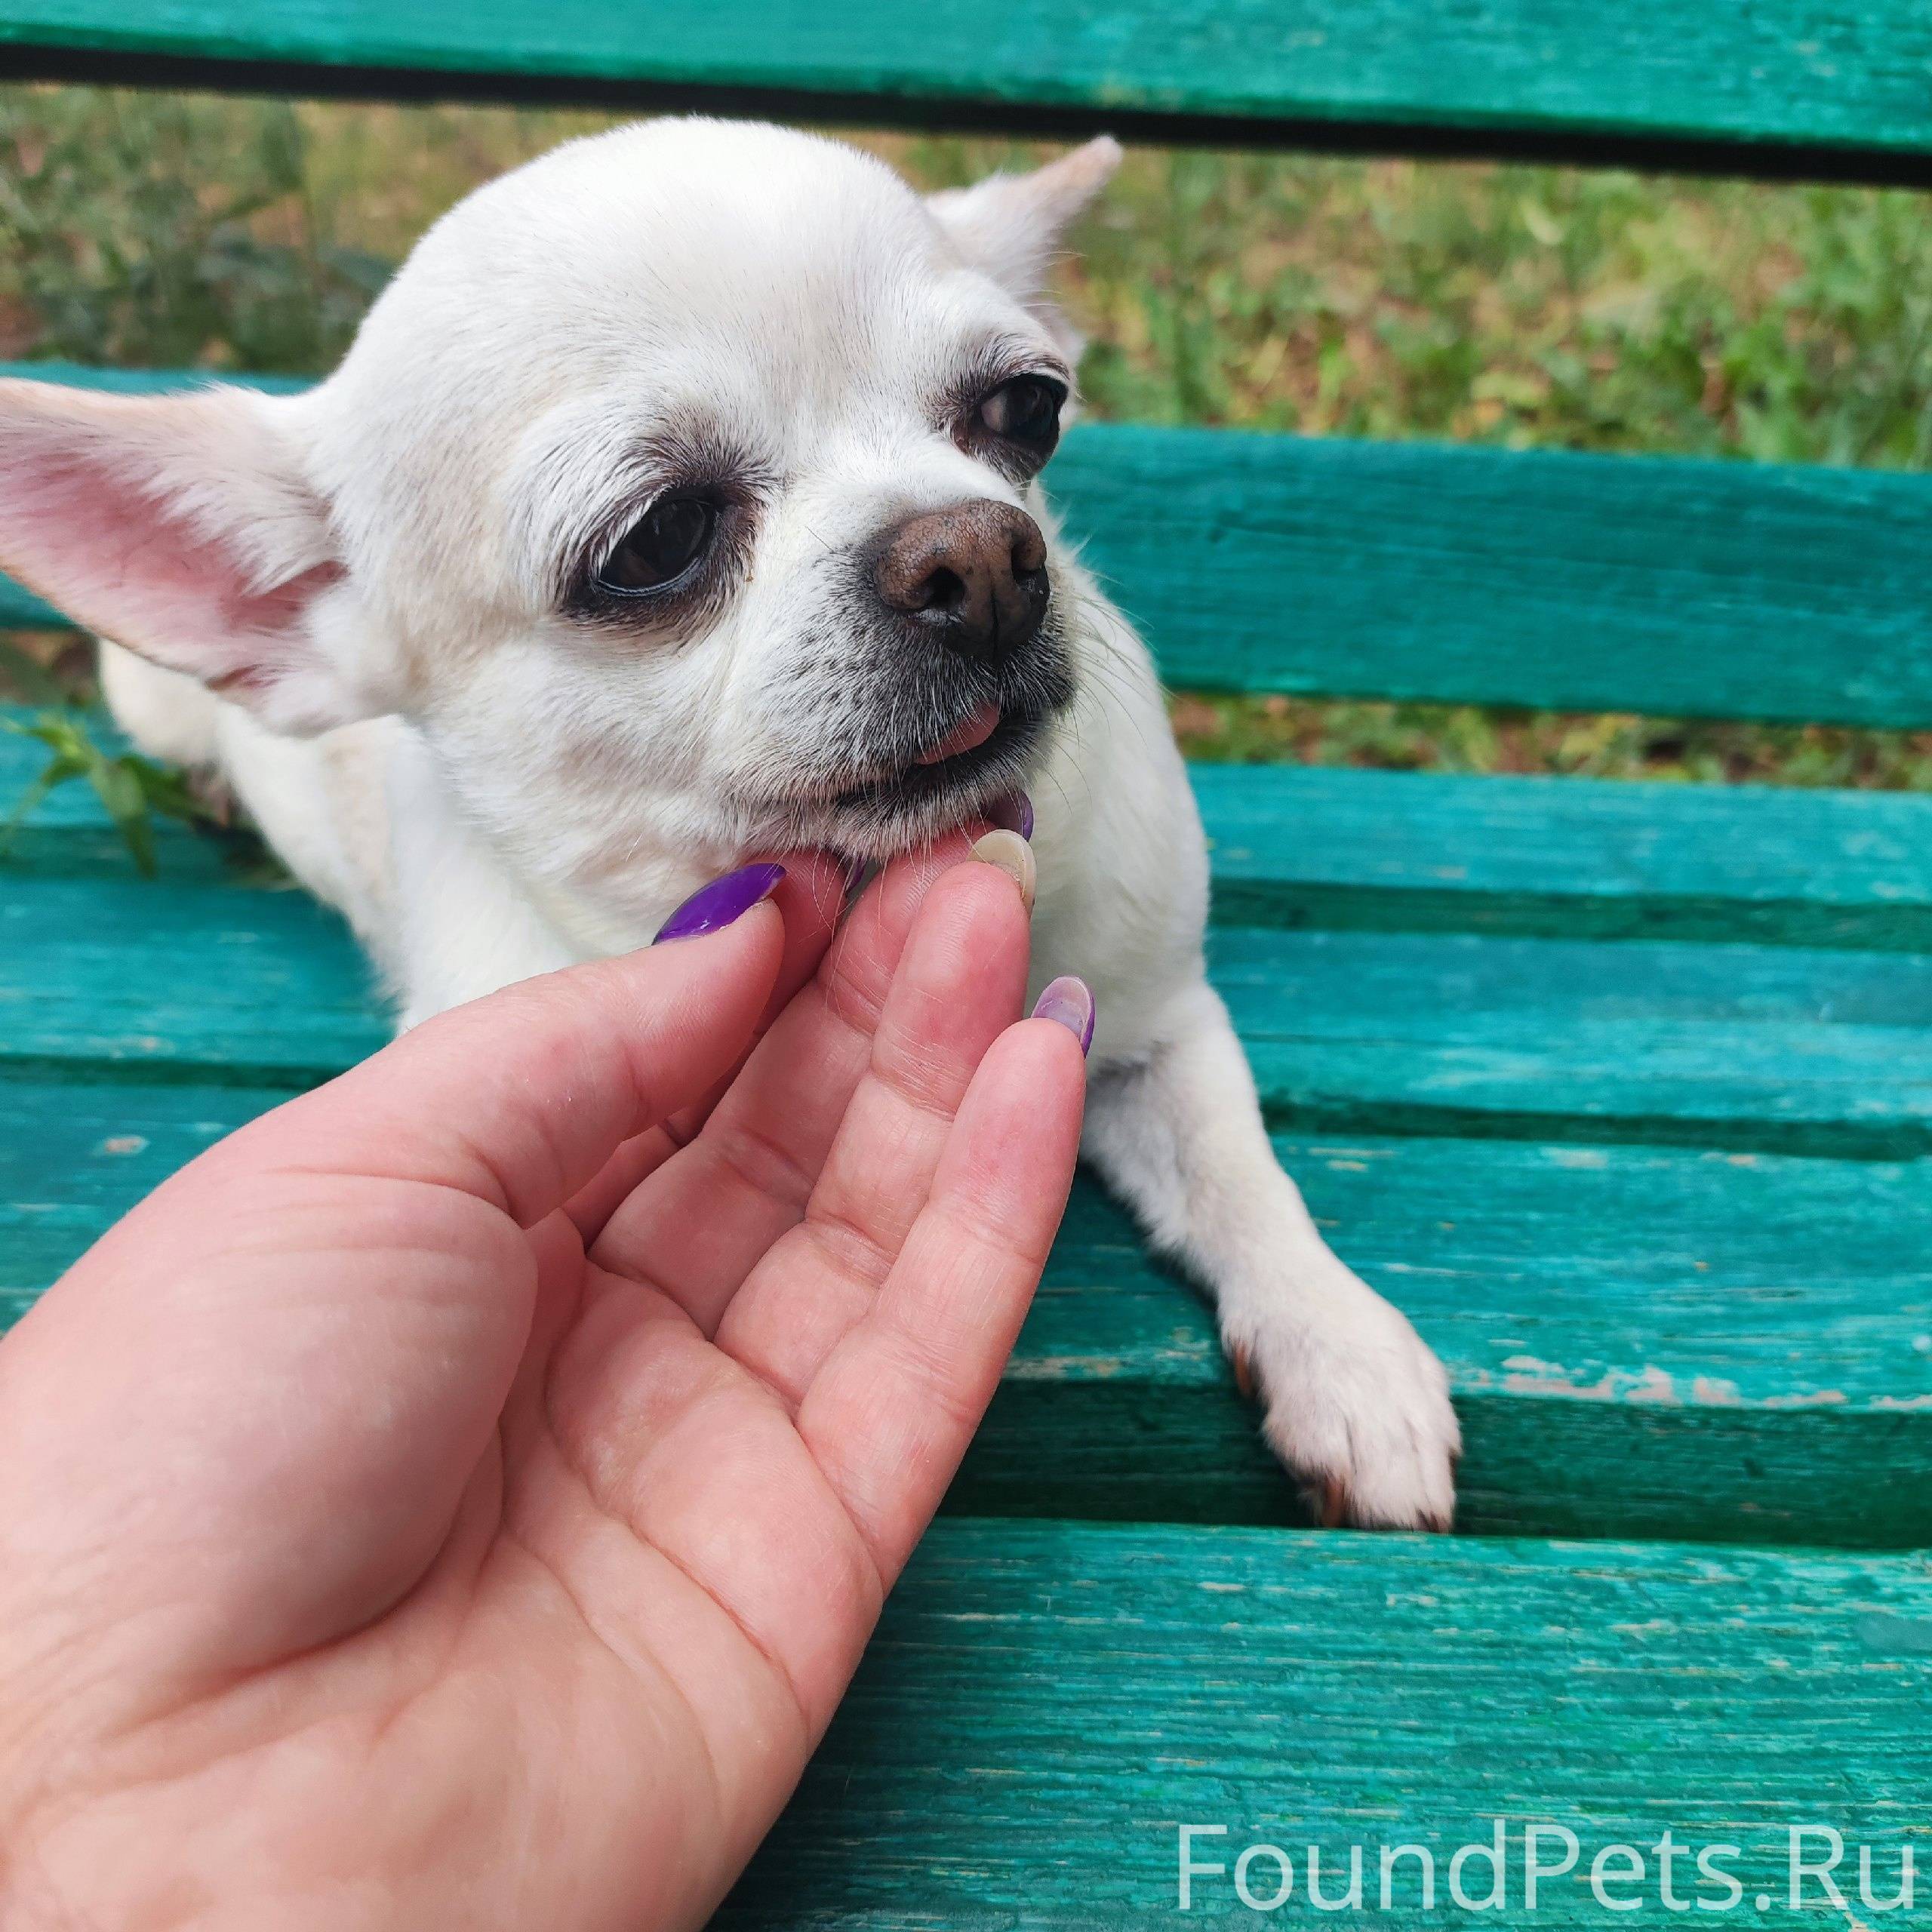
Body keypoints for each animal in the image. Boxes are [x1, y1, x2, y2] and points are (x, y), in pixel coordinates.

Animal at [0, 125, 1453, 1537]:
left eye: (1026, 411)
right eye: (657, 538)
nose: (983, 553)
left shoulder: (1156, 1023)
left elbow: (1238, 1175)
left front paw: (1345, 1353)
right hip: (156, 701)